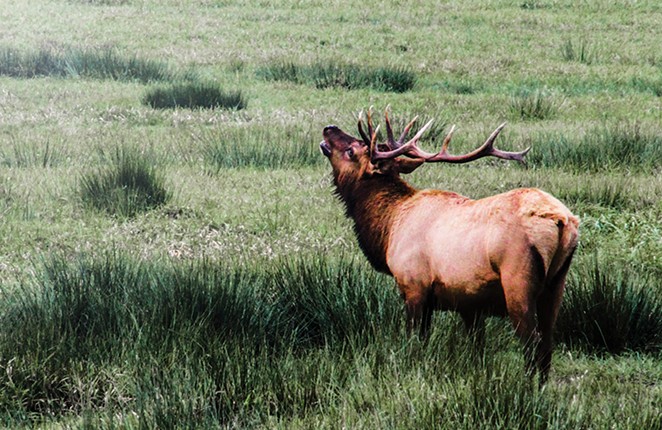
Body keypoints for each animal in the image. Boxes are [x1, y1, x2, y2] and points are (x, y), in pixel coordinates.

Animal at [322, 108, 580, 382]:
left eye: (352, 150)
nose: (329, 128)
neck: (389, 229)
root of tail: (561, 220)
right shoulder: (469, 304)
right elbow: (476, 348)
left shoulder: (414, 286)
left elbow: (415, 341)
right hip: (556, 285)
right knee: (548, 344)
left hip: (518, 281)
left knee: (533, 344)